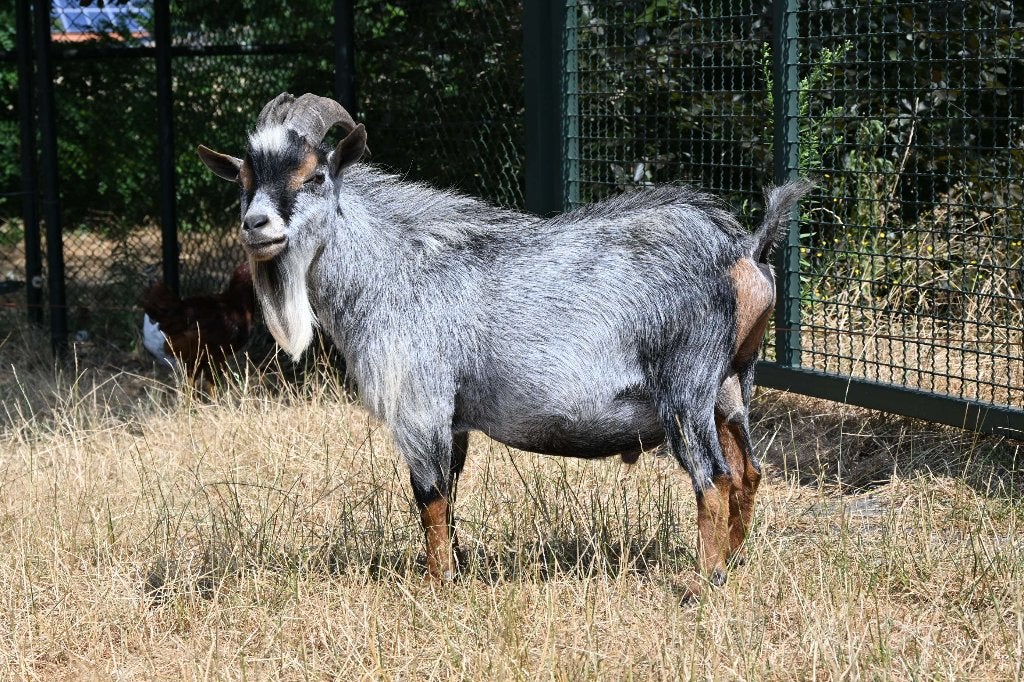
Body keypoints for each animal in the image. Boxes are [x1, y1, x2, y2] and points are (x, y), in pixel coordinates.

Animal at [198, 92, 811, 593]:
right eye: (245, 180)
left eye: (315, 176)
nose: (257, 225)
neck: (391, 268)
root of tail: (743, 250)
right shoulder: (455, 420)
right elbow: (448, 494)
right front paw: (458, 568)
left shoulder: (420, 405)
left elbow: (429, 495)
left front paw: (439, 586)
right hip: (731, 386)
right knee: (748, 472)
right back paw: (732, 562)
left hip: (685, 390)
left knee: (714, 478)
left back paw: (702, 583)